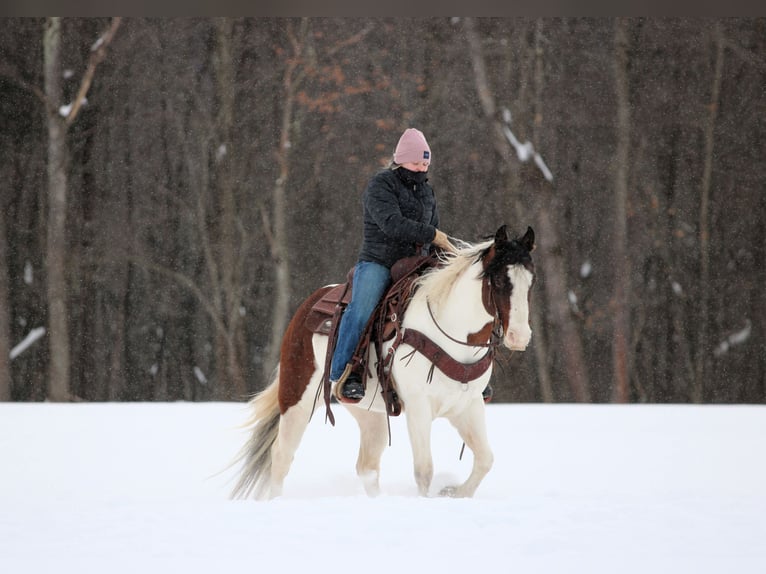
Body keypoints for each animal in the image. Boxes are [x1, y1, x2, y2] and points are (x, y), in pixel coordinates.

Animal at [230, 224, 535, 499]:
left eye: (530, 282)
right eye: (499, 281)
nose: (519, 337)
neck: (450, 329)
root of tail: (307, 306)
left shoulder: (468, 405)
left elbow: (485, 459)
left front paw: (453, 493)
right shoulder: (419, 406)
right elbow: (424, 470)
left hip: (368, 412)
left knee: (367, 466)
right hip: (298, 398)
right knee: (282, 457)